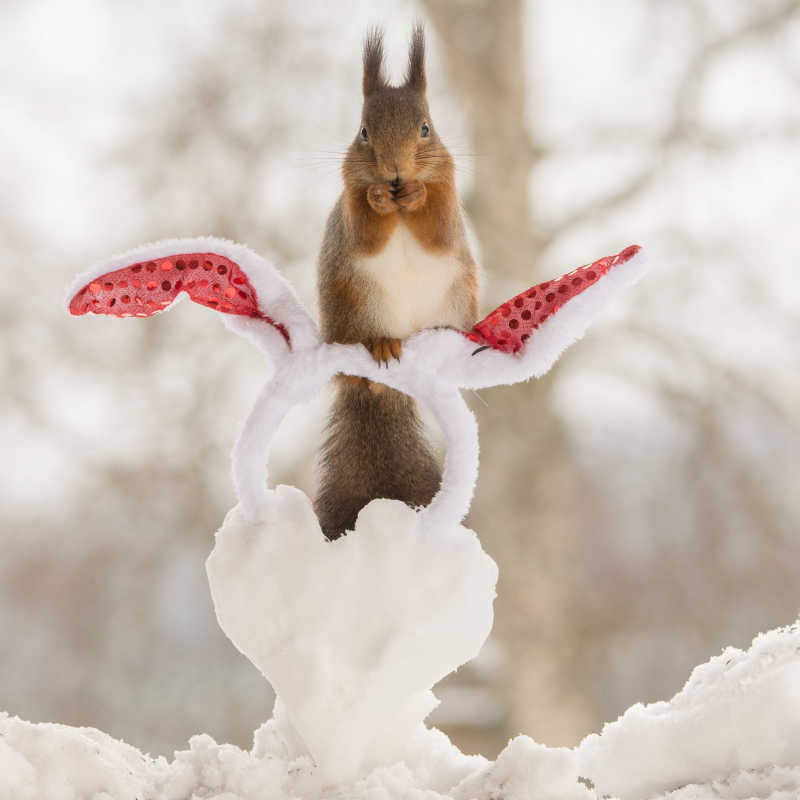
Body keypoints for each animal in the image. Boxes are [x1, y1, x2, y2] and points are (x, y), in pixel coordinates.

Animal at [312, 25, 476, 540]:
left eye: (425, 128)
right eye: (363, 132)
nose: (395, 170)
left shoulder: (449, 195)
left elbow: (437, 225)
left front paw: (418, 192)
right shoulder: (349, 199)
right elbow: (365, 228)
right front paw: (380, 198)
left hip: (456, 297)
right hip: (355, 304)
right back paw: (382, 344)